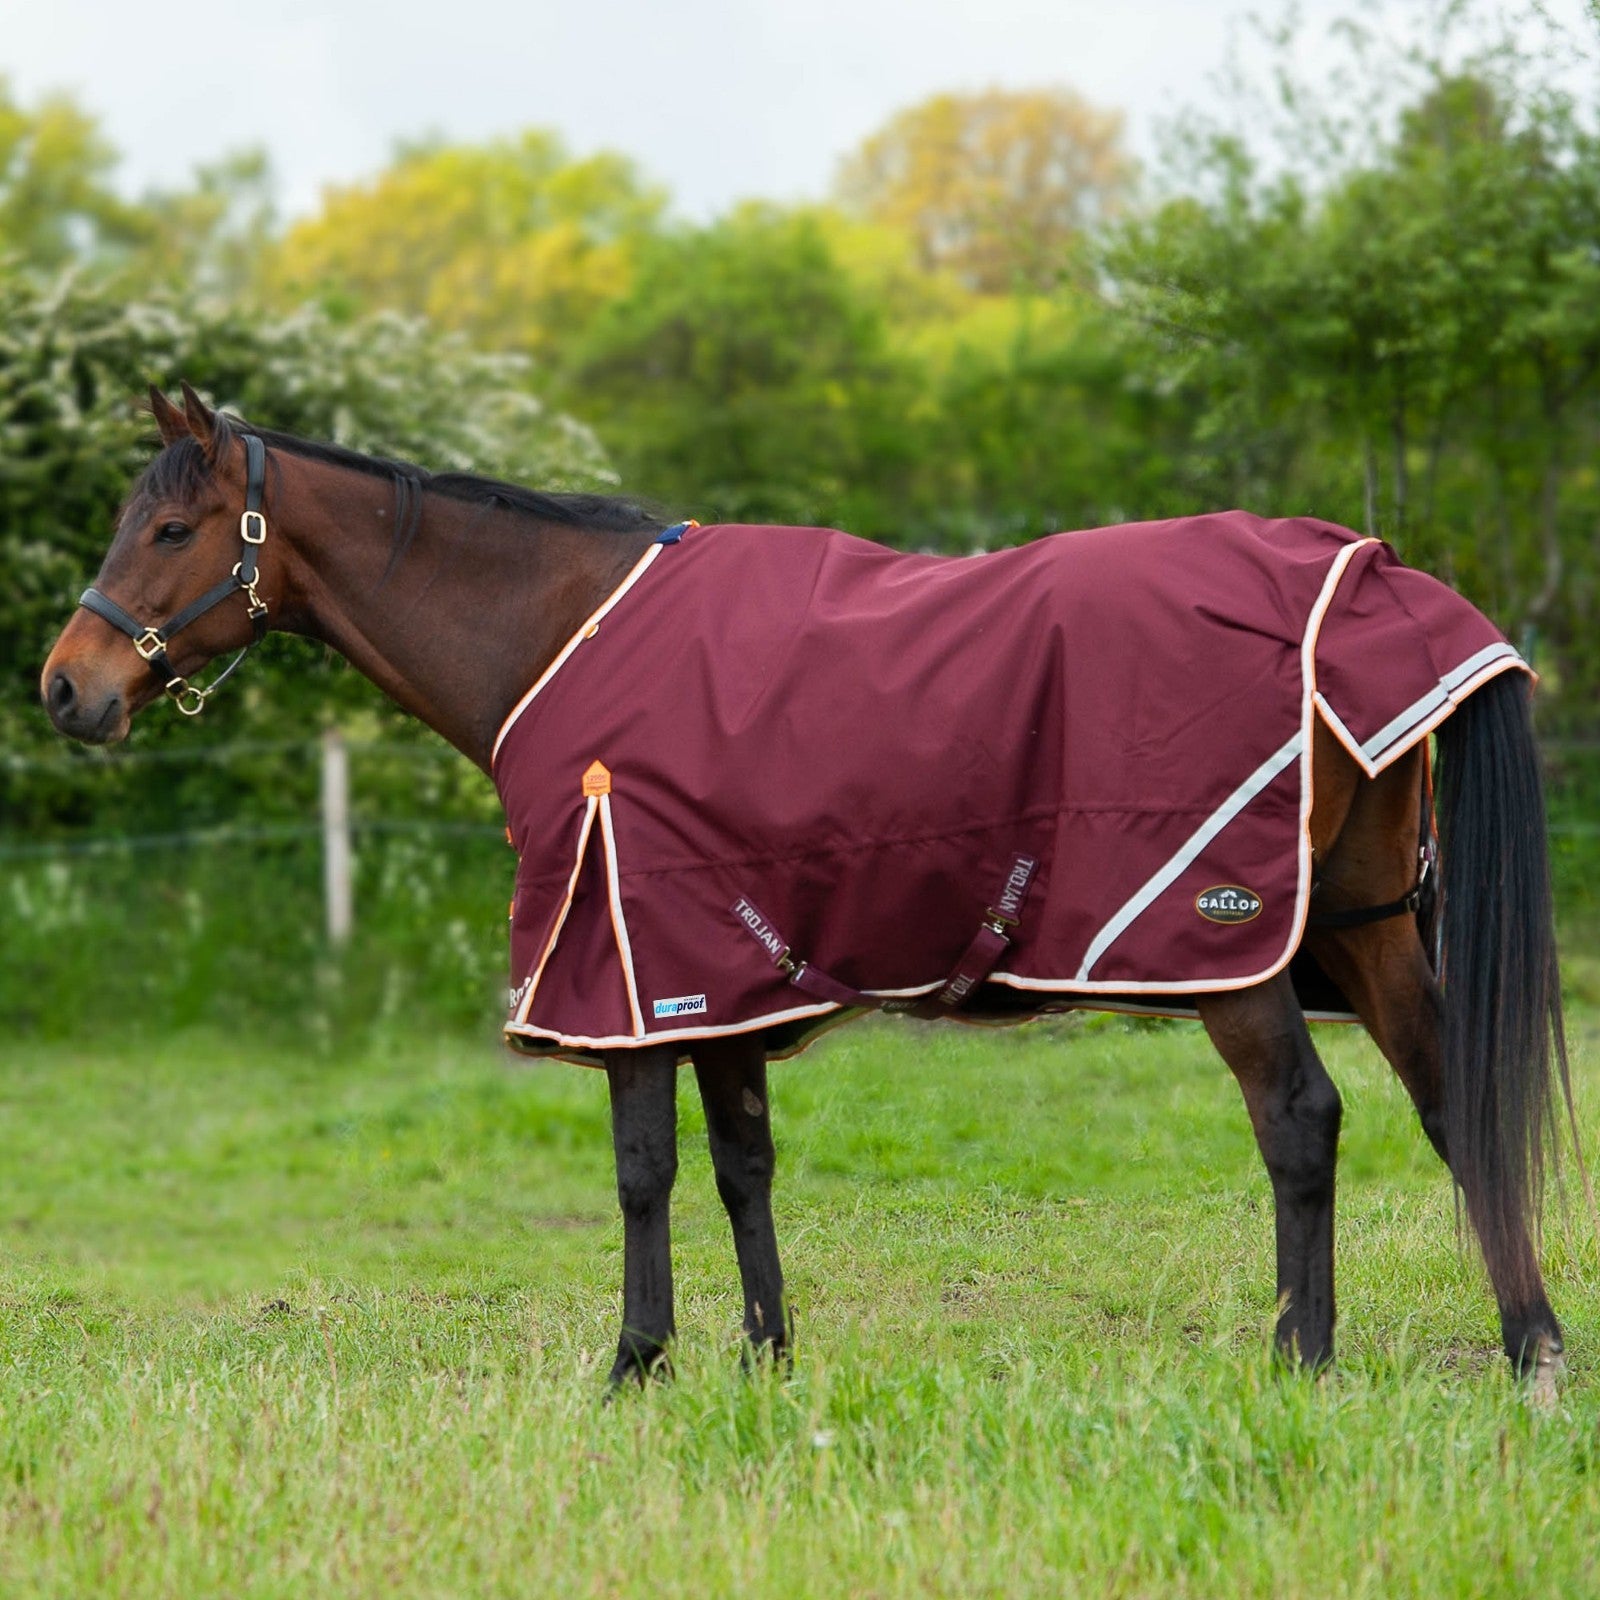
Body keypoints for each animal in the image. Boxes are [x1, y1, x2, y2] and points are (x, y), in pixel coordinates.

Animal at [39, 384, 1575, 1398]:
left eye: (170, 531)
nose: (68, 688)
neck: (554, 631)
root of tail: (1365, 571)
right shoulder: (714, 968)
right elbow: (741, 1165)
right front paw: (765, 1357)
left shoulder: (623, 957)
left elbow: (643, 1172)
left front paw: (635, 1362)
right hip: (1365, 933)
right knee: (1455, 1104)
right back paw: (1533, 1349)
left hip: (1228, 950)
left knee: (1303, 1122)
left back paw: (1300, 1358)